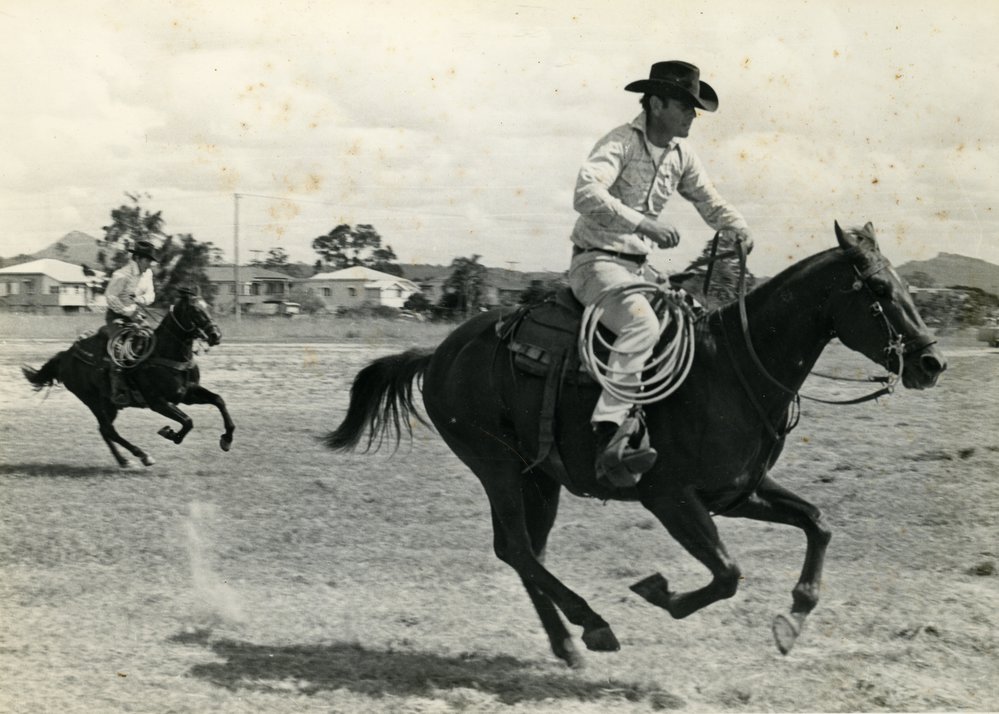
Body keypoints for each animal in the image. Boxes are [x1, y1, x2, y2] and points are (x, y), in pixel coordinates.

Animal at [22, 289, 235, 468]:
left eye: (207, 307)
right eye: (195, 310)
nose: (216, 335)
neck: (166, 352)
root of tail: (65, 356)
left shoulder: (187, 393)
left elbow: (218, 400)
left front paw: (226, 439)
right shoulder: (158, 402)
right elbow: (188, 421)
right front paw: (170, 433)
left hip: (109, 405)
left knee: (105, 430)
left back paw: (124, 461)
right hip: (94, 401)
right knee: (108, 429)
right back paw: (142, 455)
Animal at [324, 222, 946, 666]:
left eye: (906, 285)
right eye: (880, 290)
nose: (931, 362)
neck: (731, 369)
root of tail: (440, 354)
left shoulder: (738, 492)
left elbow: (817, 523)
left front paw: (793, 619)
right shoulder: (669, 497)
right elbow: (726, 573)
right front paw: (659, 592)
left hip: (539, 477)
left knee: (526, 552)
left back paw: (568, 643)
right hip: (496, 466)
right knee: (518, 548)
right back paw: (593, 625)